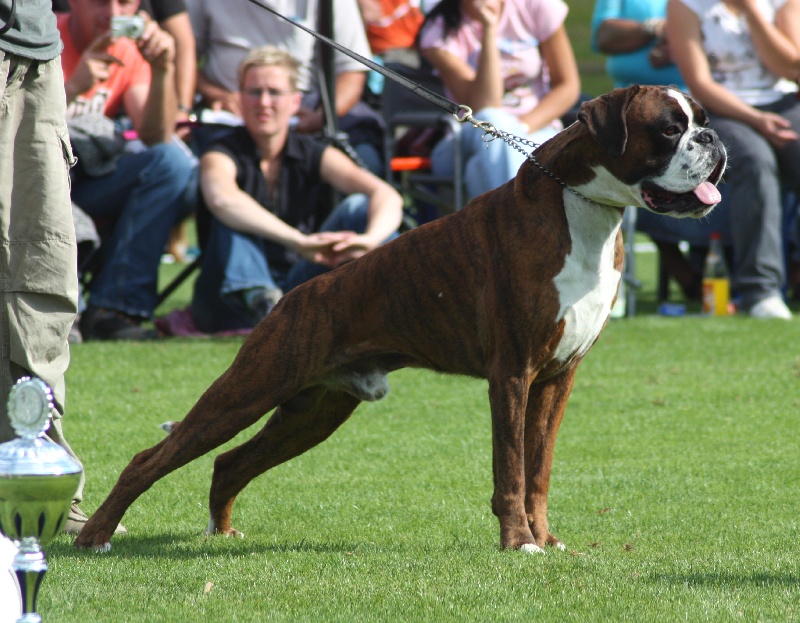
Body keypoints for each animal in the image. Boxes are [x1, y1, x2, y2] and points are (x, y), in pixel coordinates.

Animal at [73, 85, 724, 552]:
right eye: (670, 130)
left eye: (699, 120)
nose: (714, 138)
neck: (581, 209)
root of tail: (295, 294)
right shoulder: (512, 374)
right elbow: (511, 470)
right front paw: (519, 543)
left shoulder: (557, 379)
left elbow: (538, 470)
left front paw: (546, 538)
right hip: (249, 389)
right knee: (151, 460)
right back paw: (95, 535)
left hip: (312, 412)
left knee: (230, 462)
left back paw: (223, 532)